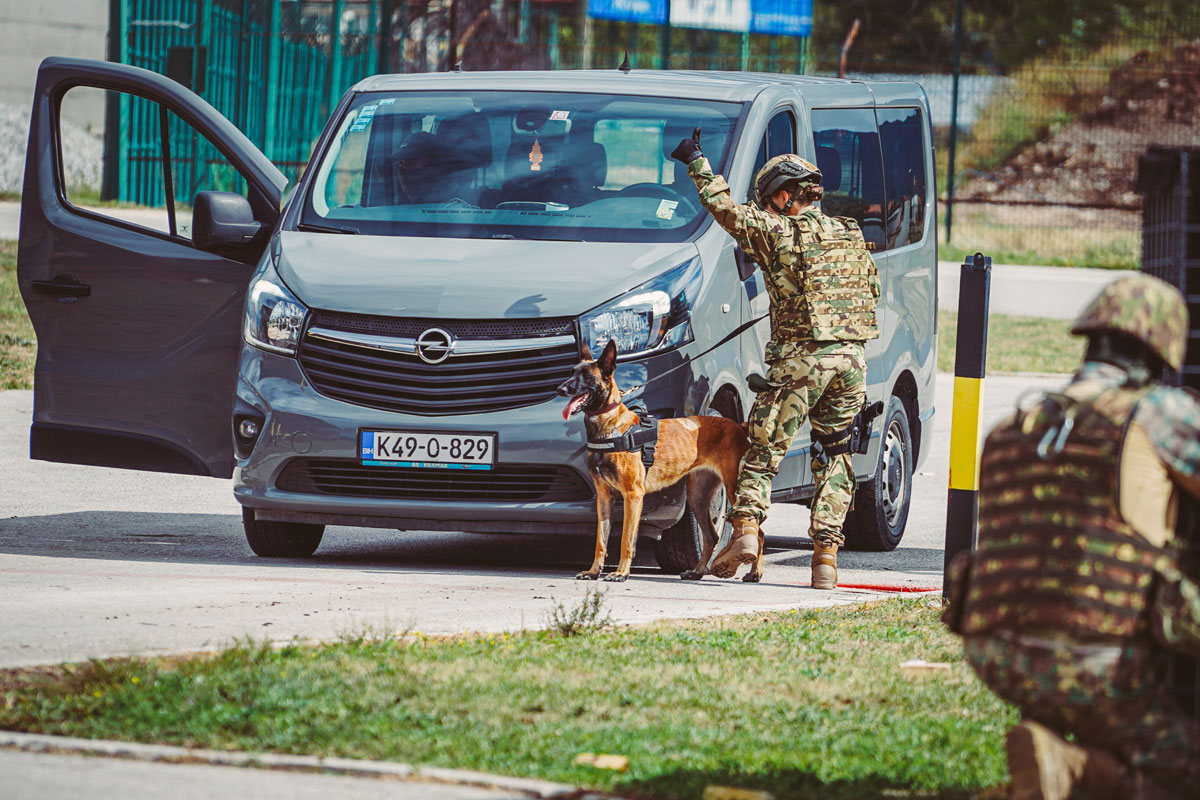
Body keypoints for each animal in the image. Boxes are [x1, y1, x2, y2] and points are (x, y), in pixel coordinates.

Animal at [559, 340, 748, 582]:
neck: (610, 428)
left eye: (586, 376)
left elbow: (626, 540)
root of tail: (737, 426)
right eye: (571, 373)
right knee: (711, 537)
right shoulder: (604, 497)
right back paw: (697, 571)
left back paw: (754, 574)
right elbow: (600, 540)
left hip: (734, 492)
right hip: (697, 498)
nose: (560, 389)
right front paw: (594, 571)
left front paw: (620, 573)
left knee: (757, 529)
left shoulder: (633, 496)